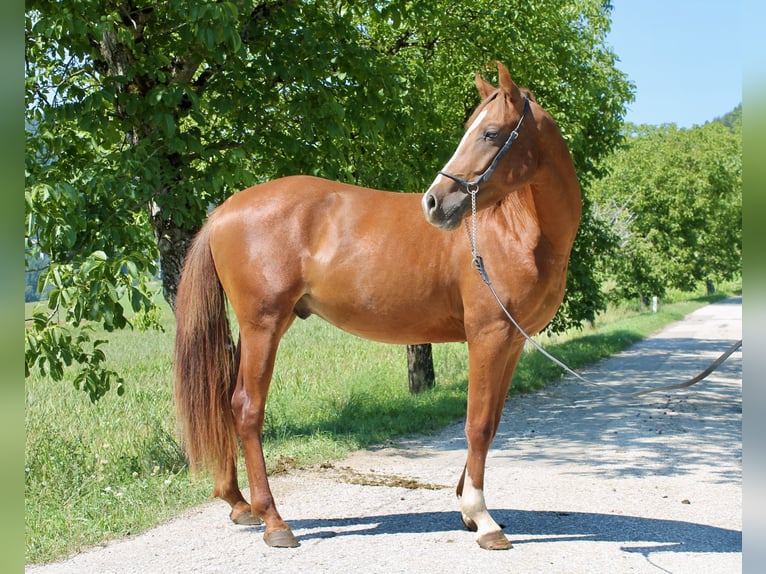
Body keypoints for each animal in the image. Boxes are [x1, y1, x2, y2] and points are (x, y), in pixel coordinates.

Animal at [173, 61, 582, 550]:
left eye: (490, 133)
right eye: (474, 129)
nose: (434, 202)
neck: (518, 232)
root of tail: (223, 210)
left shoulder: (512, 343)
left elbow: (493, 420)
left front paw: (467, 509)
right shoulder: (488, 337)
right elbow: (478, 423)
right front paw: (483, 520)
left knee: (222, 401)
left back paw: (239, 503)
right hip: (262, 326)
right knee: (246, 409)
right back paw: (274, 521)